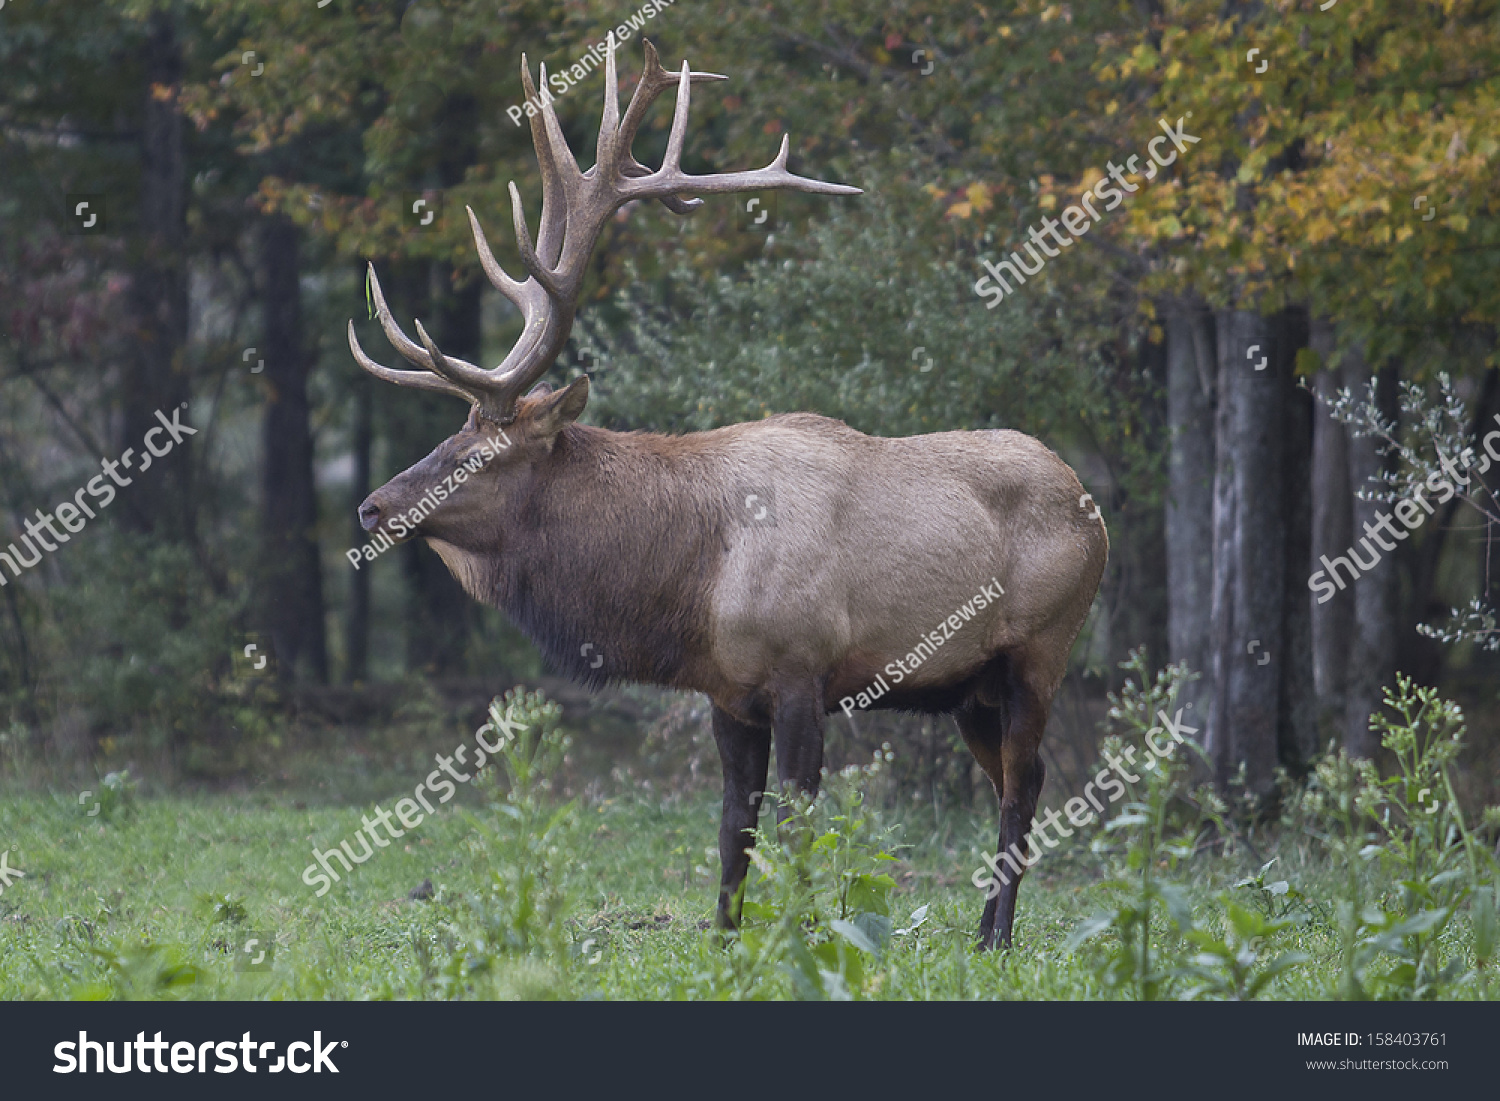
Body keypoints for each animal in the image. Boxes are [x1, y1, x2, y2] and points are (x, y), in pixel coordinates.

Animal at [348, 36, 1104, 948]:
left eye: (476, 453)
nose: (372, 505)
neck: (691, 576)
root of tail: (1092, 504)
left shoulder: (804, 667)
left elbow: (800, 822)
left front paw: (806, 934)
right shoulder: (729, 690)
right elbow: (730, 824)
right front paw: (726, 933)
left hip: (1040, 650)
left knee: (1025, 785)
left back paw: (996, 935)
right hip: (970, 687)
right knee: (1008, 781)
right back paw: (985, 928)